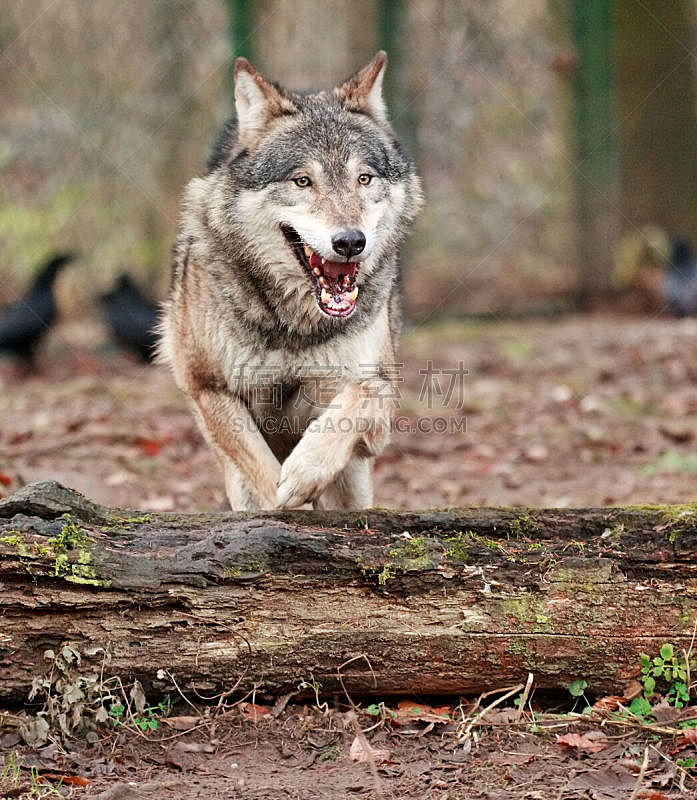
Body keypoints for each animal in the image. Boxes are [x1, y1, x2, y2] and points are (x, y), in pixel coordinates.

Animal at [158, 51, 422, 512]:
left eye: (364, 178)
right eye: (303, 180)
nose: (350, 241)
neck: (294, 326)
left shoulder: (376, 408)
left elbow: (363, 393)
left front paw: (304, 471)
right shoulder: (205, 387)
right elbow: (261, 471)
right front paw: (283, 502)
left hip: (355, 480)